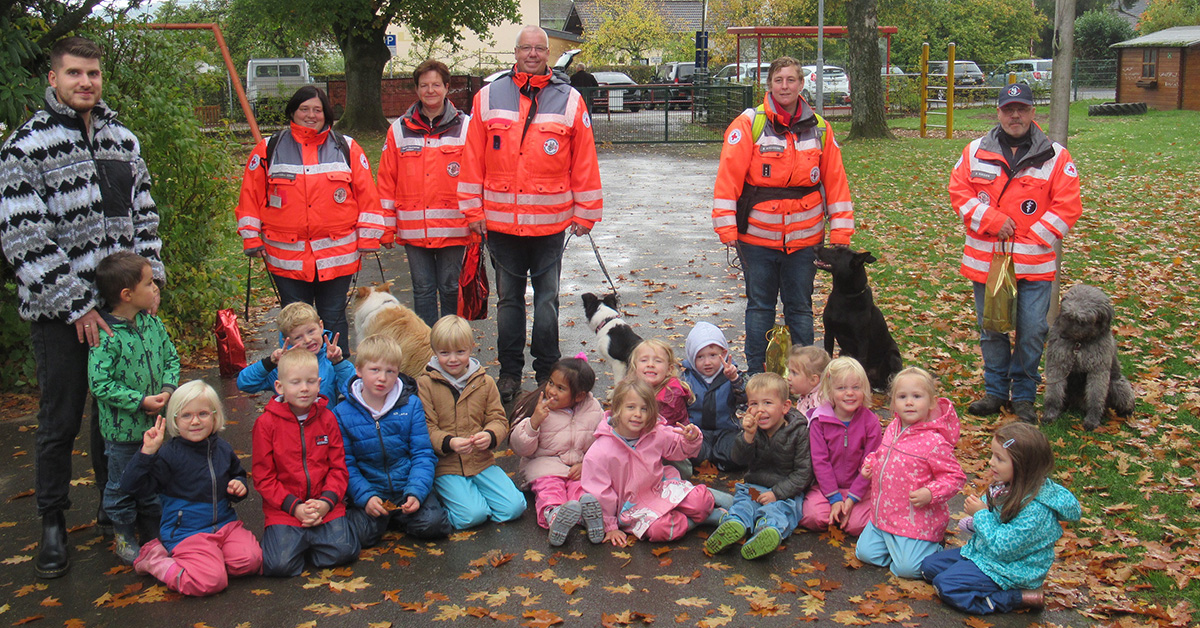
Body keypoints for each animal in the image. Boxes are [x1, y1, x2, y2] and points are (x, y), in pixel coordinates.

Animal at [816, 244, 902, 389]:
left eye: (837, 252)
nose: (816, 247)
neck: (845, 295)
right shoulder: (829, 332)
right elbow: (828, 356)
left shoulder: (862, 341)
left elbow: (860, 364)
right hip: (843, 352)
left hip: (893, 356)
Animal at [1041, 285, 1132, 429]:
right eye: (1066, 314)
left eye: (1080, 321)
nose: (1062, 335)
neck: (1079, 343)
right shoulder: (1058, 365)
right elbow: (1054, 393)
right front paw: (1050, 413)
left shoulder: (1098, 371)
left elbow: (1096, 397)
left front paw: (1092, 419)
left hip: (1119, 385)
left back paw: (1126, 414)